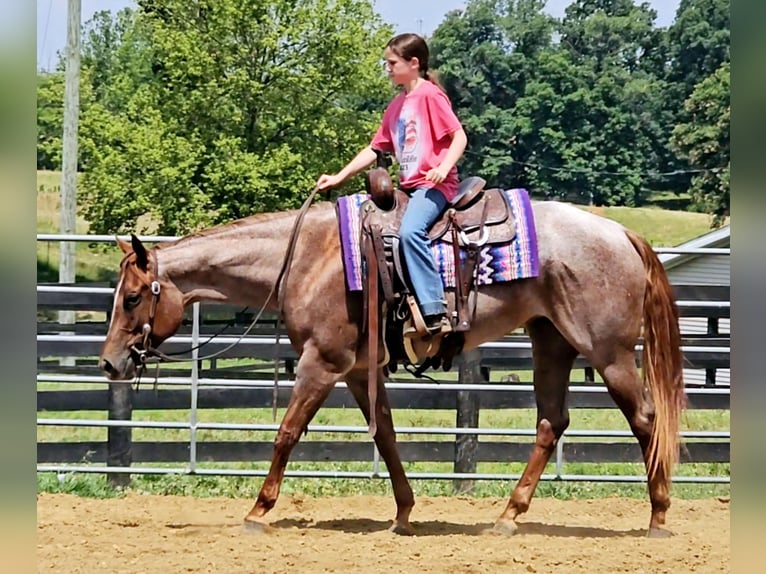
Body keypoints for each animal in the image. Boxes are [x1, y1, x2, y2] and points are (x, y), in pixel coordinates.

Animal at [99, 197, 688, 540]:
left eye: (132, 297)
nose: (108, 362)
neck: (308, 258)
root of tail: (622, 234)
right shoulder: (359, 369)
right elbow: (384, 434)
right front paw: (404, 512)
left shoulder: (322, 362)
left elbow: (287, 432)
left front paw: (257, 511)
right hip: (552, 343)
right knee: (551, 423)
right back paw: (506, 517)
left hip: (609, 353)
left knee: (646, 419)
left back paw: (659, 517)